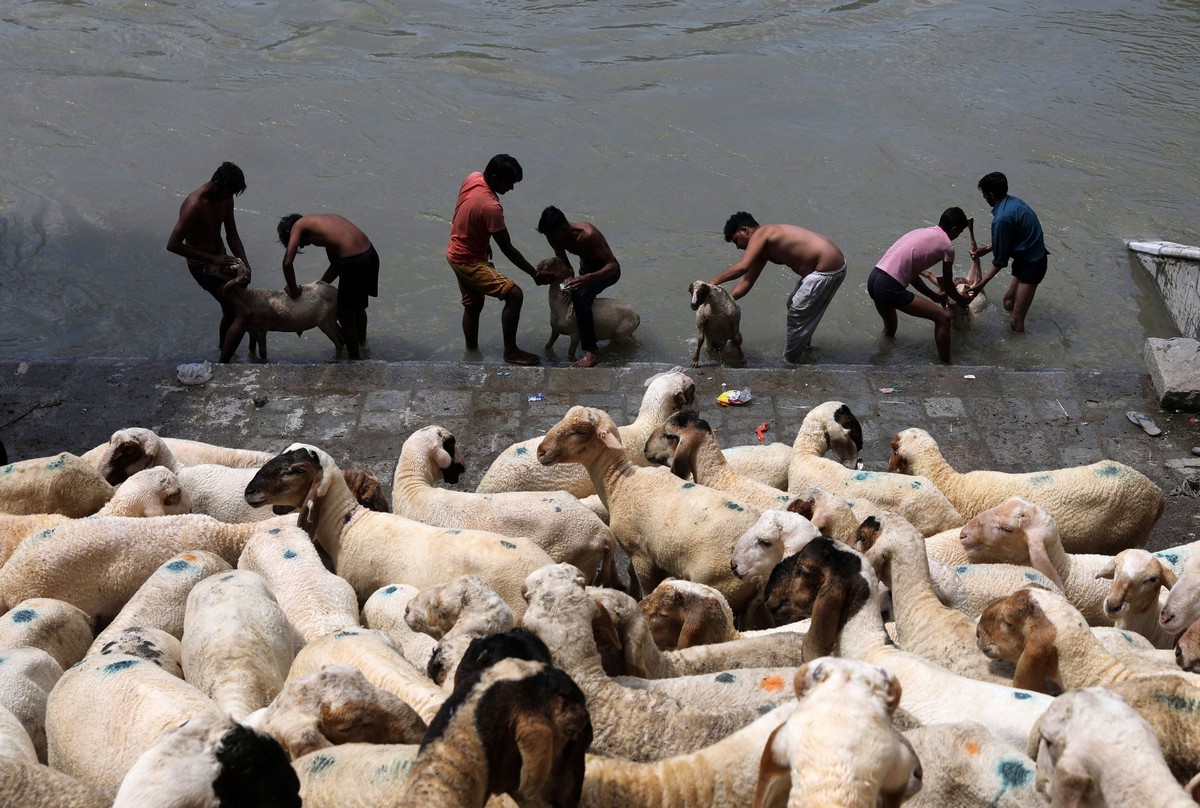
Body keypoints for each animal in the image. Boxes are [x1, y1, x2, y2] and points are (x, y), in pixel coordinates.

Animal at [540, 405, 763, 607]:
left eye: (581, 431)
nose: (541, 451)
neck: (620, 482)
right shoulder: (657, 556)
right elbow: (631, 573)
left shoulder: (641, 554)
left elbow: (646, 587)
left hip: (721, 583)